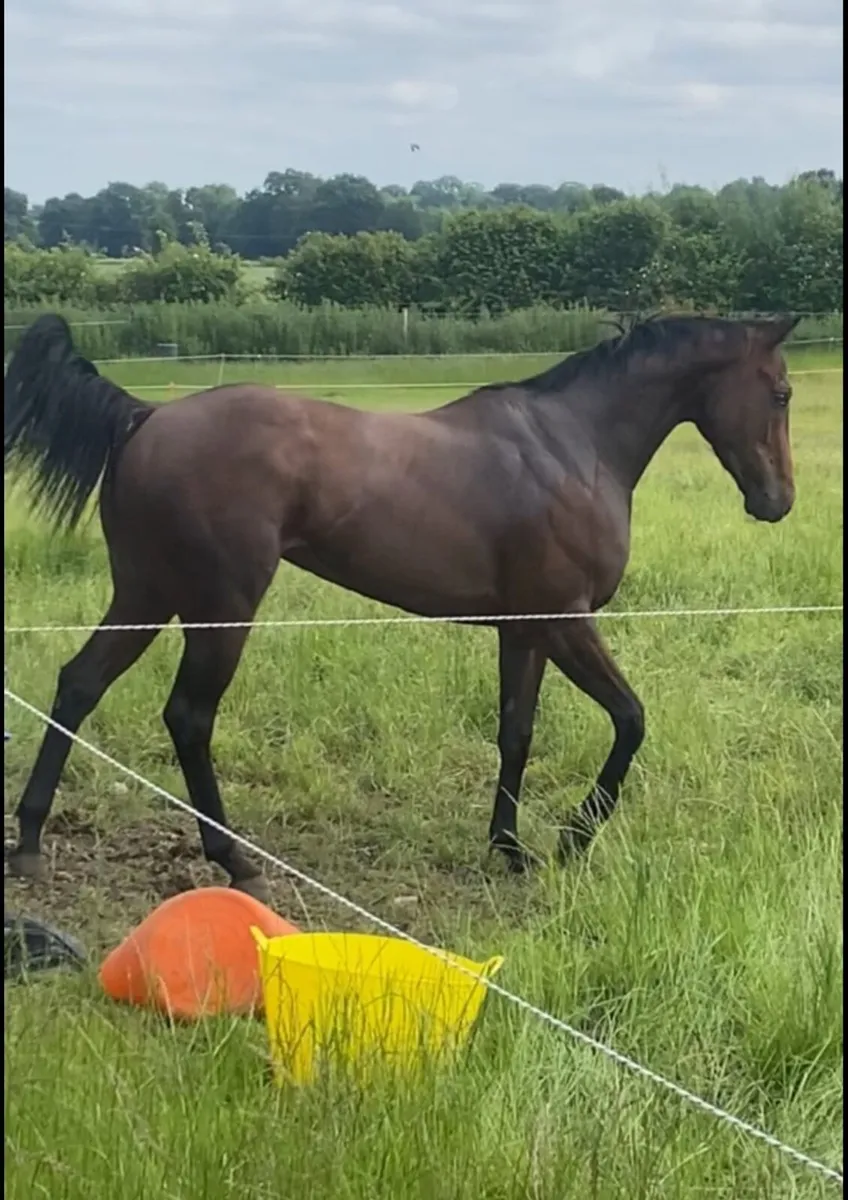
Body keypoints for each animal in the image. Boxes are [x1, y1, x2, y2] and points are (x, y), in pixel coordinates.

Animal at [4, 312, 798, 899]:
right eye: (782, 392)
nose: (778, 501)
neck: (573, 446)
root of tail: (146, 418)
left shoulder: (525, 630)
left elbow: (517, 732)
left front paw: (509, 848)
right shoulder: (567, 621)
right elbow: (631, 719)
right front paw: (573, 839)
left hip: (147, 593)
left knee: (80, 683)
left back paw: (31, 842)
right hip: (219, 606)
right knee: (189, 717)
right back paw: (236, 862)